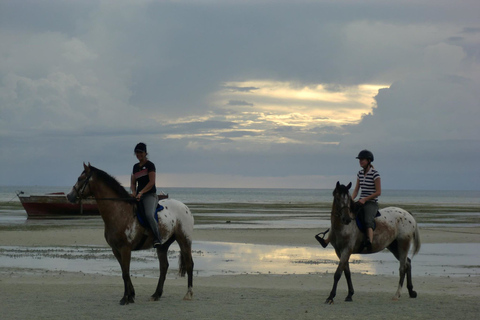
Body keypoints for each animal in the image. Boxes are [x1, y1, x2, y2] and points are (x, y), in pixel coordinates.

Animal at [67, 164, 195, 304]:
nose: (69, 196)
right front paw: (131, 295)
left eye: (80, 178)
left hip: (184, 240)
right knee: (164, 267)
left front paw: (126, 298)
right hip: (162, 245)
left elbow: (126, 273)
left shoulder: (125, 249)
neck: (119, 211)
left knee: (189, 264)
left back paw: (188, 294)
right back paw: (156, 294)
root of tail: (185, 207)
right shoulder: (116, 250)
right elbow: (124, 272)